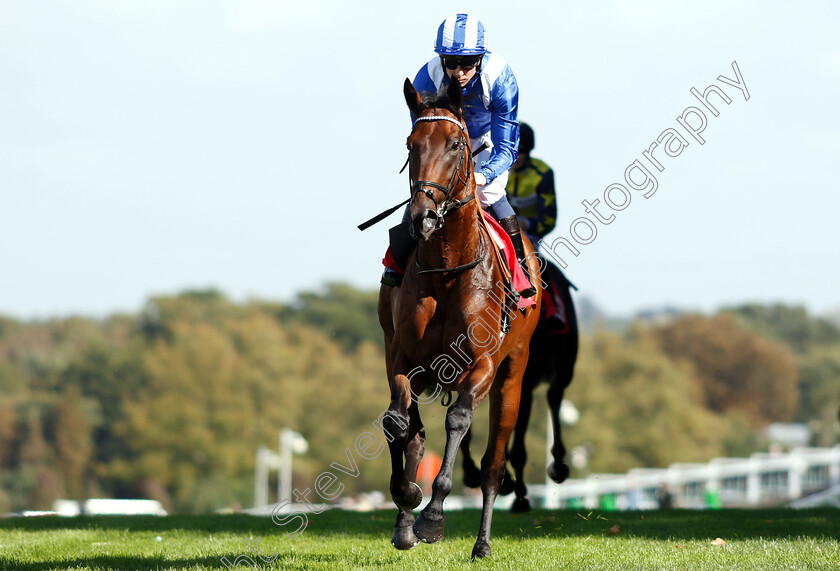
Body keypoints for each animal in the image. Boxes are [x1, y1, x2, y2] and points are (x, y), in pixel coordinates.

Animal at [378, 76, 540, 560]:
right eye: (410, 144)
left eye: (455, 143)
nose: (423, 217)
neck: (449, 269)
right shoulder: (402, 358)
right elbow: (397, 424)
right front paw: (408, 499)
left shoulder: (482, 365)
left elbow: (458, 422)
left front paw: (432, 517)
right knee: (412, 432)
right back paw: (404, 523)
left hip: (513, 375)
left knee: (493, 464)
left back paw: (481, 544)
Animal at [460, 262, 576, 512]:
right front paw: (474, 473)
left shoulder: (525, 379)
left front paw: (520, 496)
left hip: (564, 367)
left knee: (554, 397)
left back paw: (558, 465)